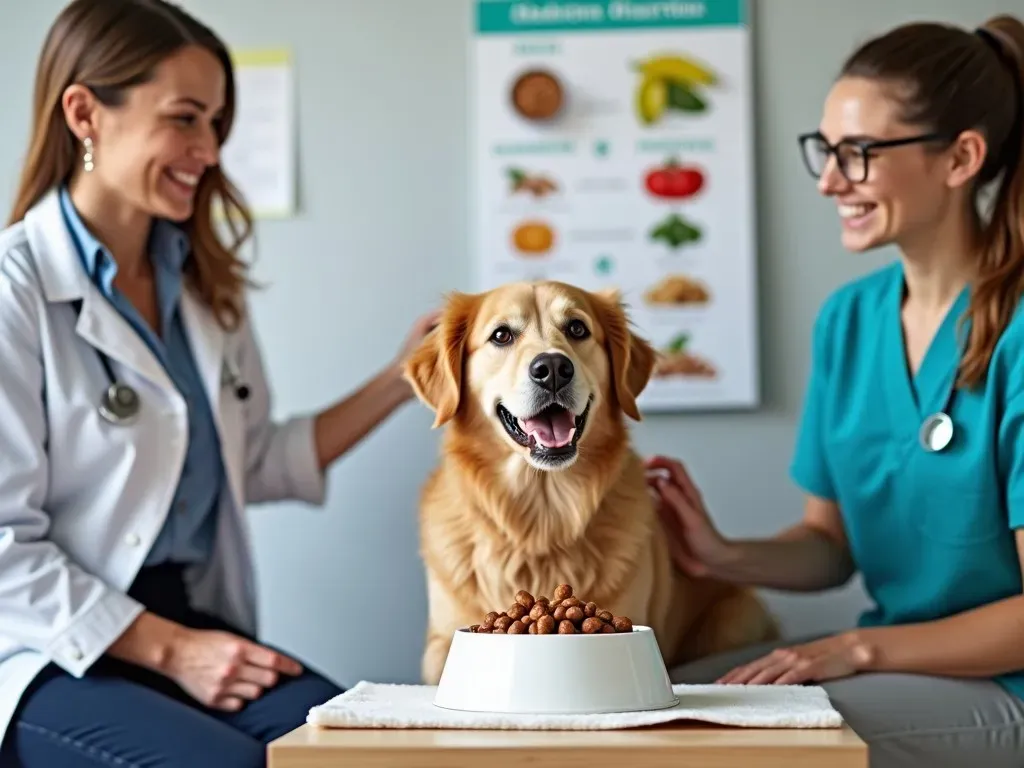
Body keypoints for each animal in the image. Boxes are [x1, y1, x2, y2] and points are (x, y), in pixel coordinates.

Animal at [401, 280, 774, 684]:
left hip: (736, 617)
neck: (542, 518)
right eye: (501, 335)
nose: (552, 368)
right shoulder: (440, 642)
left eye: (577, 329)